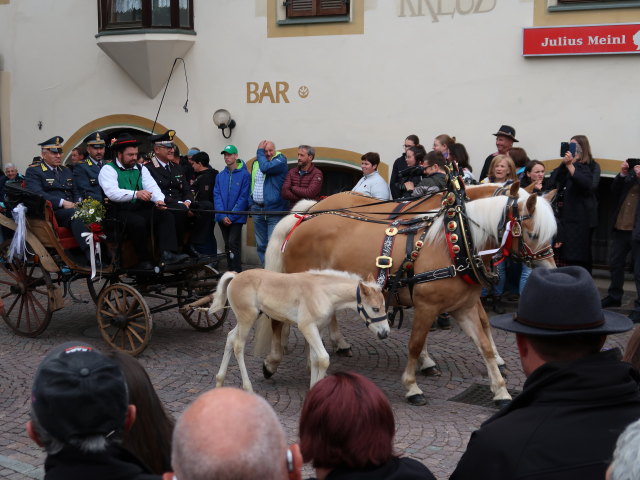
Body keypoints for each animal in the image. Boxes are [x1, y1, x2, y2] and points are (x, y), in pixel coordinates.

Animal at [211, 268, 390, 392]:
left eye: (384, 306)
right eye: (375, 308)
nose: (385, 333)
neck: (323, 292)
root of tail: (236, 276)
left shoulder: (318, 328)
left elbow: (314, 359)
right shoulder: (307, 327)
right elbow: (323, 358)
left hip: (247, 318)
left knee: (230, 337)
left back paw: (219, 381)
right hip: (247, 318)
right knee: (238, 345)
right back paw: (247, 388)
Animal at [262, 184, 556, 404]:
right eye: (533, 233)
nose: (551, 269)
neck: (456, 244)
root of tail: (305, 218)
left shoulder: (464, 307)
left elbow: (482, 340)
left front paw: (500, 388)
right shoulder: (426, 305)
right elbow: (415, 342)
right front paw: (413, 385)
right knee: (276, 320)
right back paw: (273, 361)